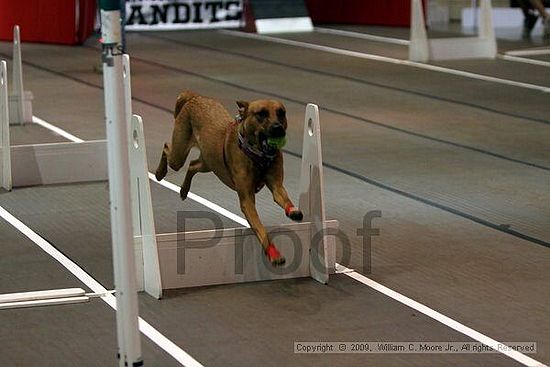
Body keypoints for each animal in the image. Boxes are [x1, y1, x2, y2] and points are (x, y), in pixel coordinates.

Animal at [155, 90, 304, 266]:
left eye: (281, 113)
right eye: (261, 114)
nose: (278, 128)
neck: (258, 156)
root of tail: (194, 97)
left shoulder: (276, 186)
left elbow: (284, 198)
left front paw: (293, 211)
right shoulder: (247, 200)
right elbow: (261, 229)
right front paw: (274, 254)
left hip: (210, 163)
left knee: (192, 165)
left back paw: (184, 190)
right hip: (180, 155)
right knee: (167, 148)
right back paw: (159, 173)